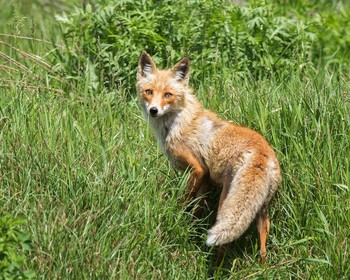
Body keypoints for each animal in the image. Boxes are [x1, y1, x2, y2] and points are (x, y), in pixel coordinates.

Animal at [135, 51, 280, 264]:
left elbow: (185, 201)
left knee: (225, 243)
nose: (153, 110)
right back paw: (263, 267)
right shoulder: (206, 180)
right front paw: (189, 226)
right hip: (262, 212)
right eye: (149, 91)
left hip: (224, 203)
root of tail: (262, 153)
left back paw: (217, 265)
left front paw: (177, 215)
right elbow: (197, 209)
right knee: (263, 247)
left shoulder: (197, 169)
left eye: (168, 95)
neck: (179, 121)